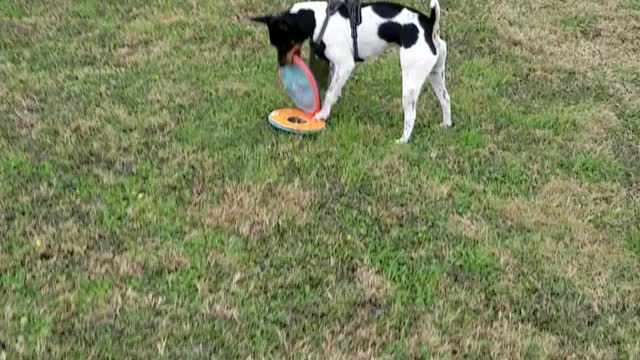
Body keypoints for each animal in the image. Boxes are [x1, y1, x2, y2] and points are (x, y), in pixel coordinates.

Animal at [252, 0, 452, 143]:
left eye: (284, 42)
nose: (281, 65)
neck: (320, 19)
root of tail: (429, 25)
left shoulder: (345, 64)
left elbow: (330, 93)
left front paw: (322, 114)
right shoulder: (335, 67)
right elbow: (333, 89)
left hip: (410, 82)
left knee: (411, 115)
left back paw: (403, 140)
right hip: (435, 75)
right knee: (445, 99)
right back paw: (445, 125)